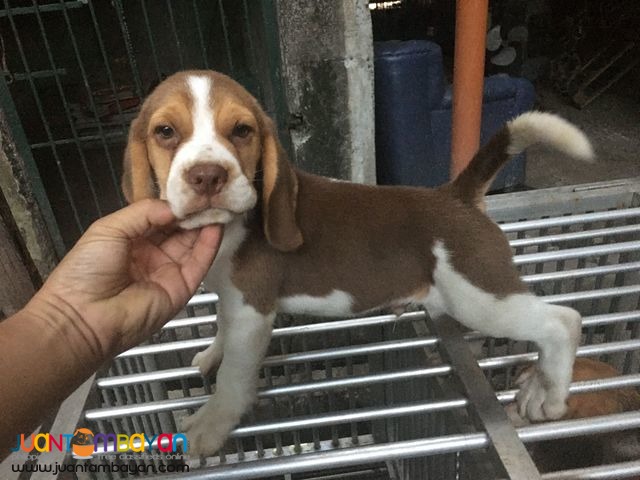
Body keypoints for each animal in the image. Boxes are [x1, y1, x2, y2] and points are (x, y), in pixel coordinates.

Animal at [121, 69, 596, 456]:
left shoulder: (252, 309)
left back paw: (549, 393)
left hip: (478, 296)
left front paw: (212, 423)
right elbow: (221, 328)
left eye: (241, 130)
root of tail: (455, 197)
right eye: (165, 131)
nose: (207, 176)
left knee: (562, 321)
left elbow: (234, 378)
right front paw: (212, 353)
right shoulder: (231, 300)